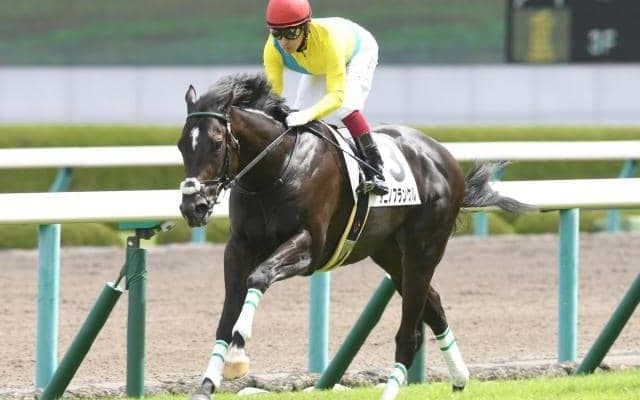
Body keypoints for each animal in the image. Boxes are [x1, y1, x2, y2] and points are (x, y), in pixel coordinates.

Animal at [177, 73, 527, 400]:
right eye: (182, 144)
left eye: (216, 141)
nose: (193, 206)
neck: (276, 168)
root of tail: (443, 156)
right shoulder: (239, 246)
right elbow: (227, 316)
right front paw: (207, 385)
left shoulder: (309, 246)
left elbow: (259, 276)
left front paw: (238, 353)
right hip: (389, 253)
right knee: (434, 305)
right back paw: (459, 379)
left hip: (424, 248)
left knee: (409, 335)